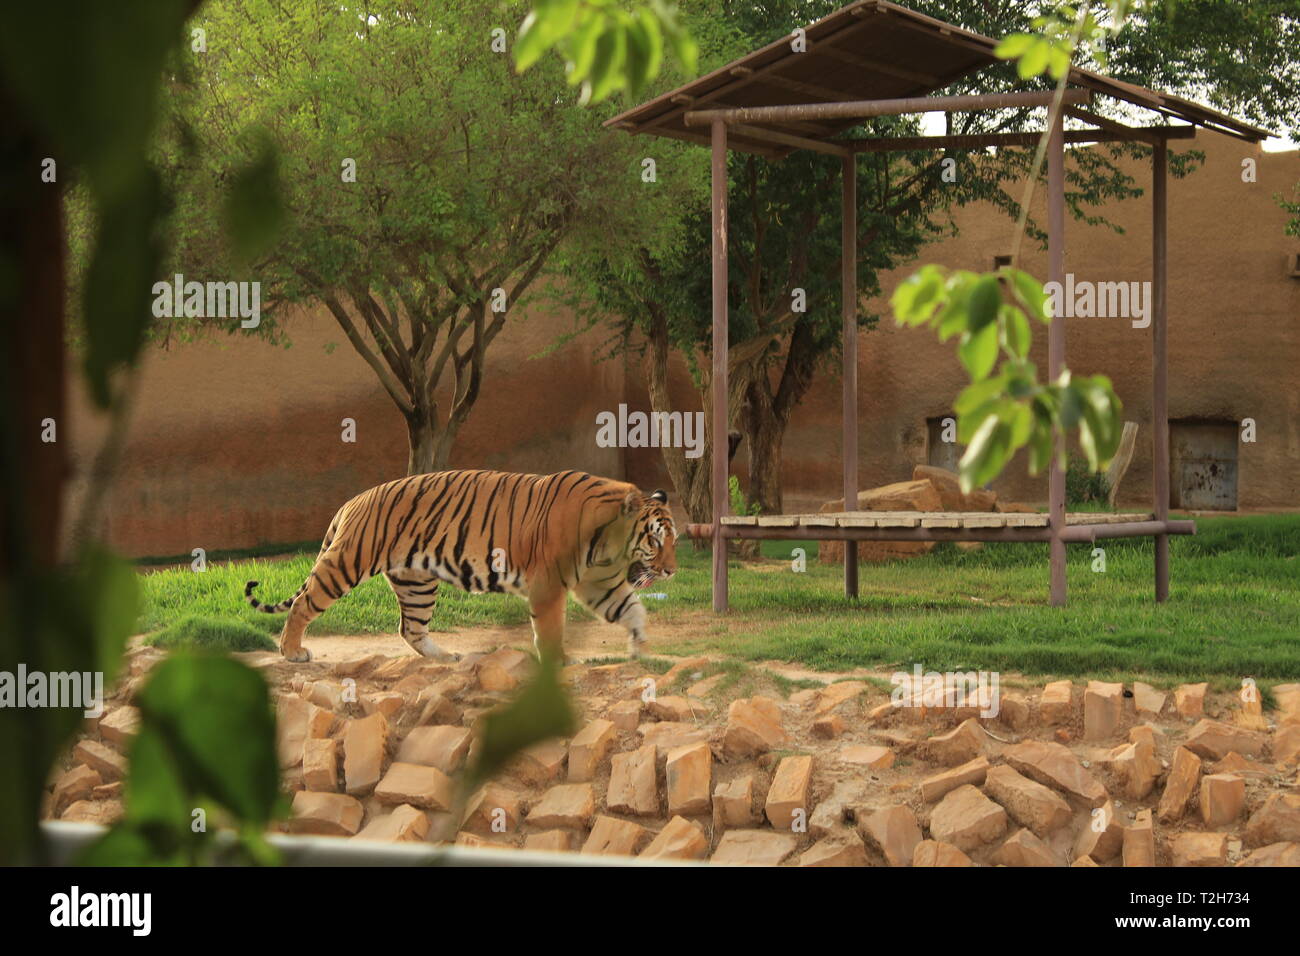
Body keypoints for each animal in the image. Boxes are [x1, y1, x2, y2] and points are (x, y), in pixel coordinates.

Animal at [241, 470, 681, 665]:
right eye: (656, 540)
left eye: (674, 540)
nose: (672, 571)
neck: (609, 544)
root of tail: (352, 501)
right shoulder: (549, 584)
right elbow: (552, 628)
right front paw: (557, 662)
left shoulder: (599, 583)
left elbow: (632, 610)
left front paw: (641, 648)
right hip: (348, 563)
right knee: (304, 605)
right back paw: (292, 651)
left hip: (416, 583)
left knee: (411, 628)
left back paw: (445, 656)